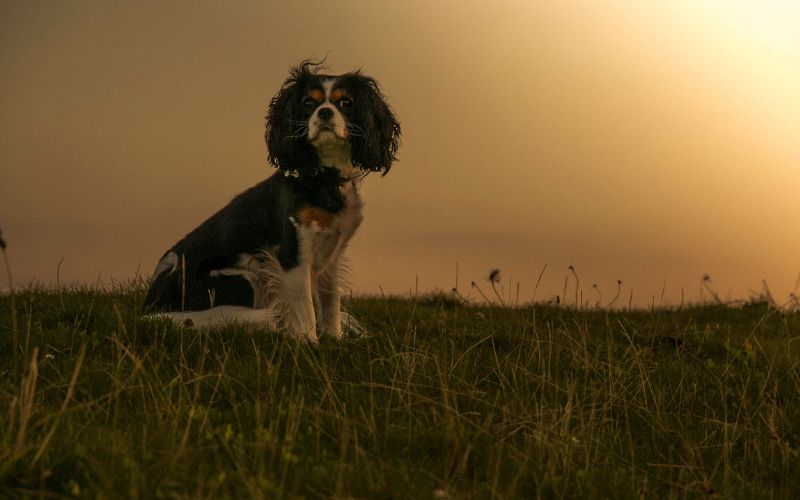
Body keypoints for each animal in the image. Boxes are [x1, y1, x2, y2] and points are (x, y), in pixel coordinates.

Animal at [143, 57, 400, 340]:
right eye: (308, 103)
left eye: (346, 103)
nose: (324, 112)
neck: (325, 176)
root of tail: (150, 306)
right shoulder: (293, 253)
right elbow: (305, 307)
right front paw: (309, 342)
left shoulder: (332, 255)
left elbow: (331, 302)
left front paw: (335, 340)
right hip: (242, 277)